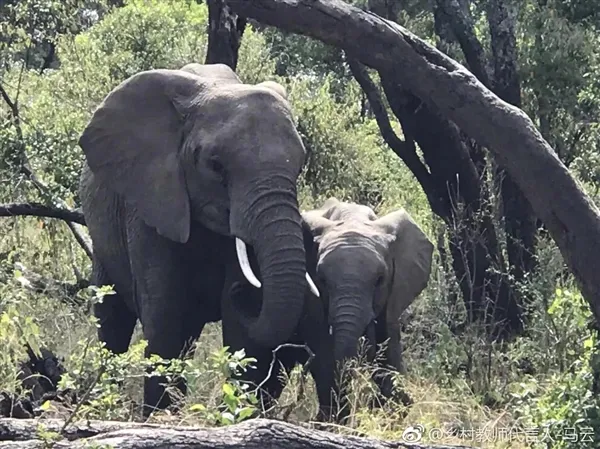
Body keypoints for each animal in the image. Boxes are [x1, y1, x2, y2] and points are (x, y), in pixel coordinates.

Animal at [78, 62, 318, 412]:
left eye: (300, 166)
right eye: (215, 166)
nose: (237, 291)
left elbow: (239, 332)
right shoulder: (150, 202)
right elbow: (164, 315)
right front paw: (158, 417)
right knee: (112, 318)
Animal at [219, 198, 432, 418]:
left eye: (380, 280)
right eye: (322, 279)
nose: (237, 289)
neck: (353, 218)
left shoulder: (393, 298)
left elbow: (391, 357)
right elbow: (326, 360)